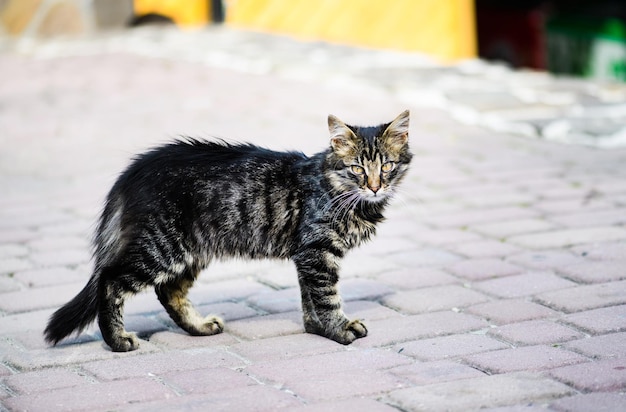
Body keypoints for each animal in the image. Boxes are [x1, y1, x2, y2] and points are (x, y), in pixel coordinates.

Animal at [46, 109, 412, 350]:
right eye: (357, 169)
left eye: (387, 166)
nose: (376, 187)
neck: (337, 189)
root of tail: (134, 171)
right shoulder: (317, 252)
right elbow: (326, 297)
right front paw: (338, 330)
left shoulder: (307, 256)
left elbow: (309, 299)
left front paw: (316, 329)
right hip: (161, 246)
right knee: (110, 281)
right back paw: (118, 340)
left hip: (191, 251)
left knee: (169, 291)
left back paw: (199, 327)